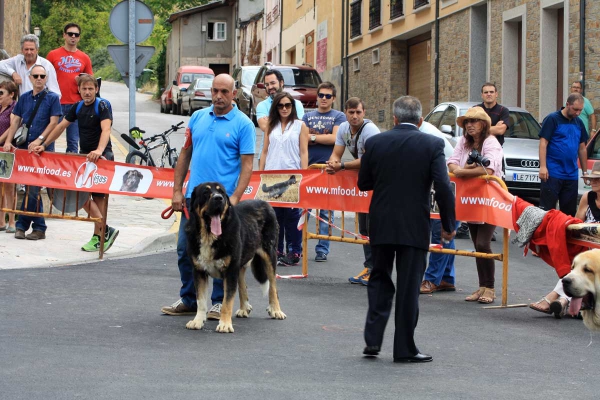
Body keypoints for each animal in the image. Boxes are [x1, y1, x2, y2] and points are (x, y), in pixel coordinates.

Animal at [185, 183, 286, 332]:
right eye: (205, 192)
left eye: (221, 192)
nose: (219, 198)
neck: (210, 236)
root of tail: (265, 203)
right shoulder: (199, 271)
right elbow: (201, 300)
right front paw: (197, 321)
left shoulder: (230, 271)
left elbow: (227, 301)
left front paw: (225, 324)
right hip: (241, 261)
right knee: (242, 282)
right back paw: (244, 308)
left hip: (269, 254)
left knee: (273, 286)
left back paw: (276, 310)